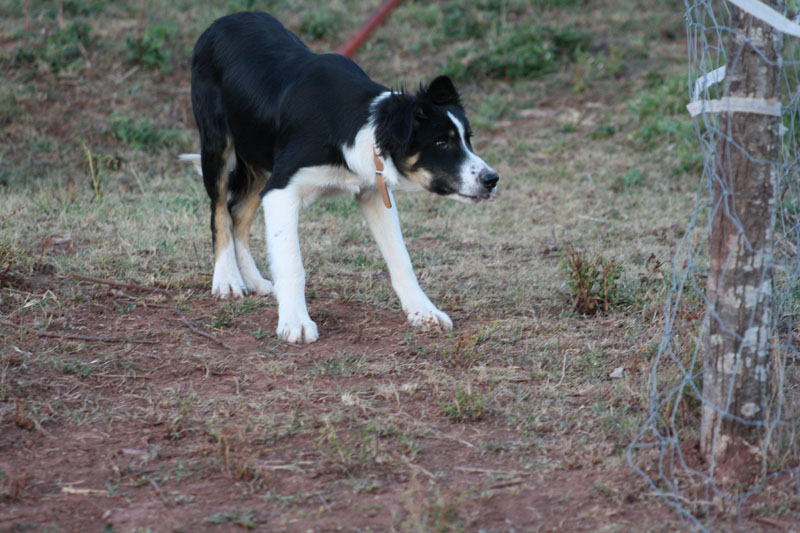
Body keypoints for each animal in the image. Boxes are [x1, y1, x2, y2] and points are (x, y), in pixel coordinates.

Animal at [184, 13, 496, 344]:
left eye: (468, 139)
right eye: (441, 142)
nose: (493, 179)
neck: (358, 126)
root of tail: (224, 19)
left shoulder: (374, 193)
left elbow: (401, 259)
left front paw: (423, 311)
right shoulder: (282, 190)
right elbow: (292, 265)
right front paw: (295, 322)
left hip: (261, 160)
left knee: (238, 212)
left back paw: (253, 280)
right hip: (219, 144)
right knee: (220, 211)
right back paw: (227, 279)